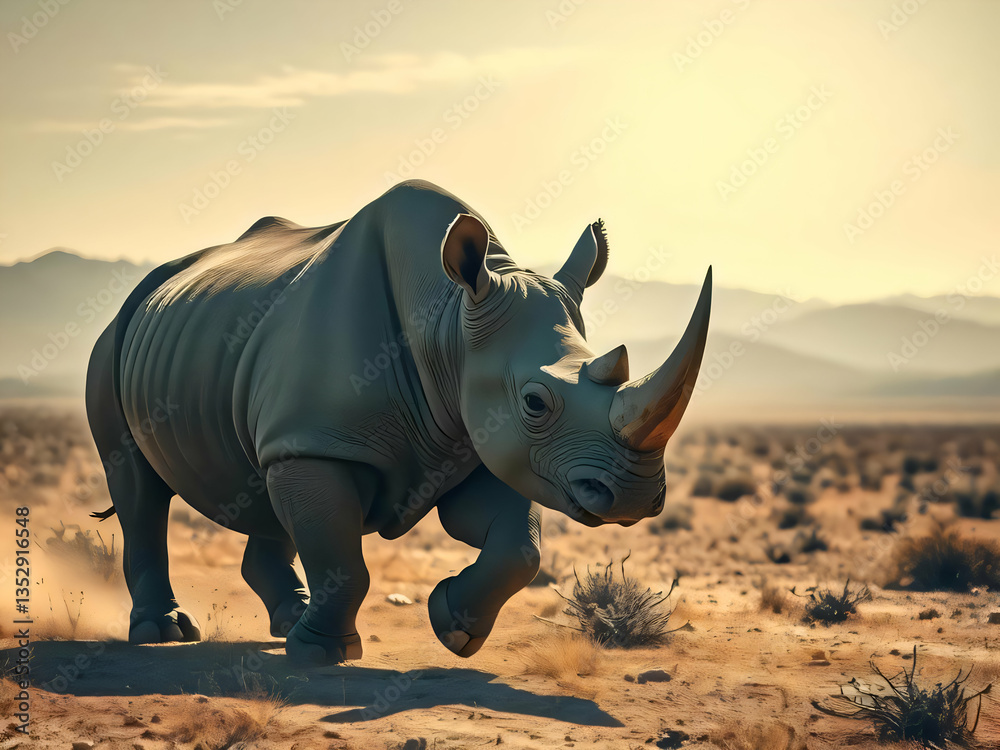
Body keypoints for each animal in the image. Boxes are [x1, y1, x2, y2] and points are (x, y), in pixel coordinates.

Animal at [85, 180, 711, 664]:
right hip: (114, 339)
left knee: (264, 478)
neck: (450, 322)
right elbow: (344, 562)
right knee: (139, 487)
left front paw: (453, 627)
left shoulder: (476, 440)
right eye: (536, 402)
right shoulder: (325, 441)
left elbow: (519, 546)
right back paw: (165, 633)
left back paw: (287, 620)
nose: (634, 495)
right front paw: (322, 653)